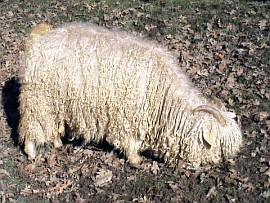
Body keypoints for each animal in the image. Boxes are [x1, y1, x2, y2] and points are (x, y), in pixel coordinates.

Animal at [19, 23, 243, 167]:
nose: (221, 165)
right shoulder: (128, 118)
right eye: (217, 146)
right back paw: (31, 153)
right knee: (32, 126)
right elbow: (130, 142)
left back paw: (57, 142)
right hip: (39, 100)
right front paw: (136, 160)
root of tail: (38, 39)